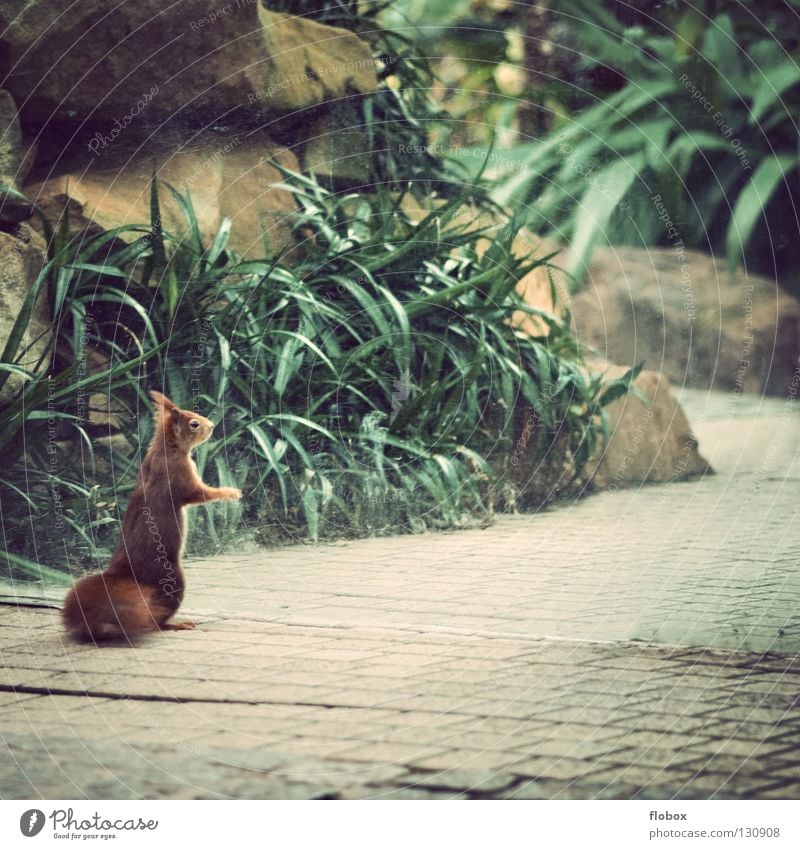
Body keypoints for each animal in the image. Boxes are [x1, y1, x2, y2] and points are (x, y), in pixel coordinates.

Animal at [62, 390, 241, 644]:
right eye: (194, 424)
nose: (212, 426)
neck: (168, 448)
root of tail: (127, 573)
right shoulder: (179, 475)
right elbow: (200, 494)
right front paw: (230, 492)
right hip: (173, 580)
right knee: (157, 620)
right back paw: (176, 624)